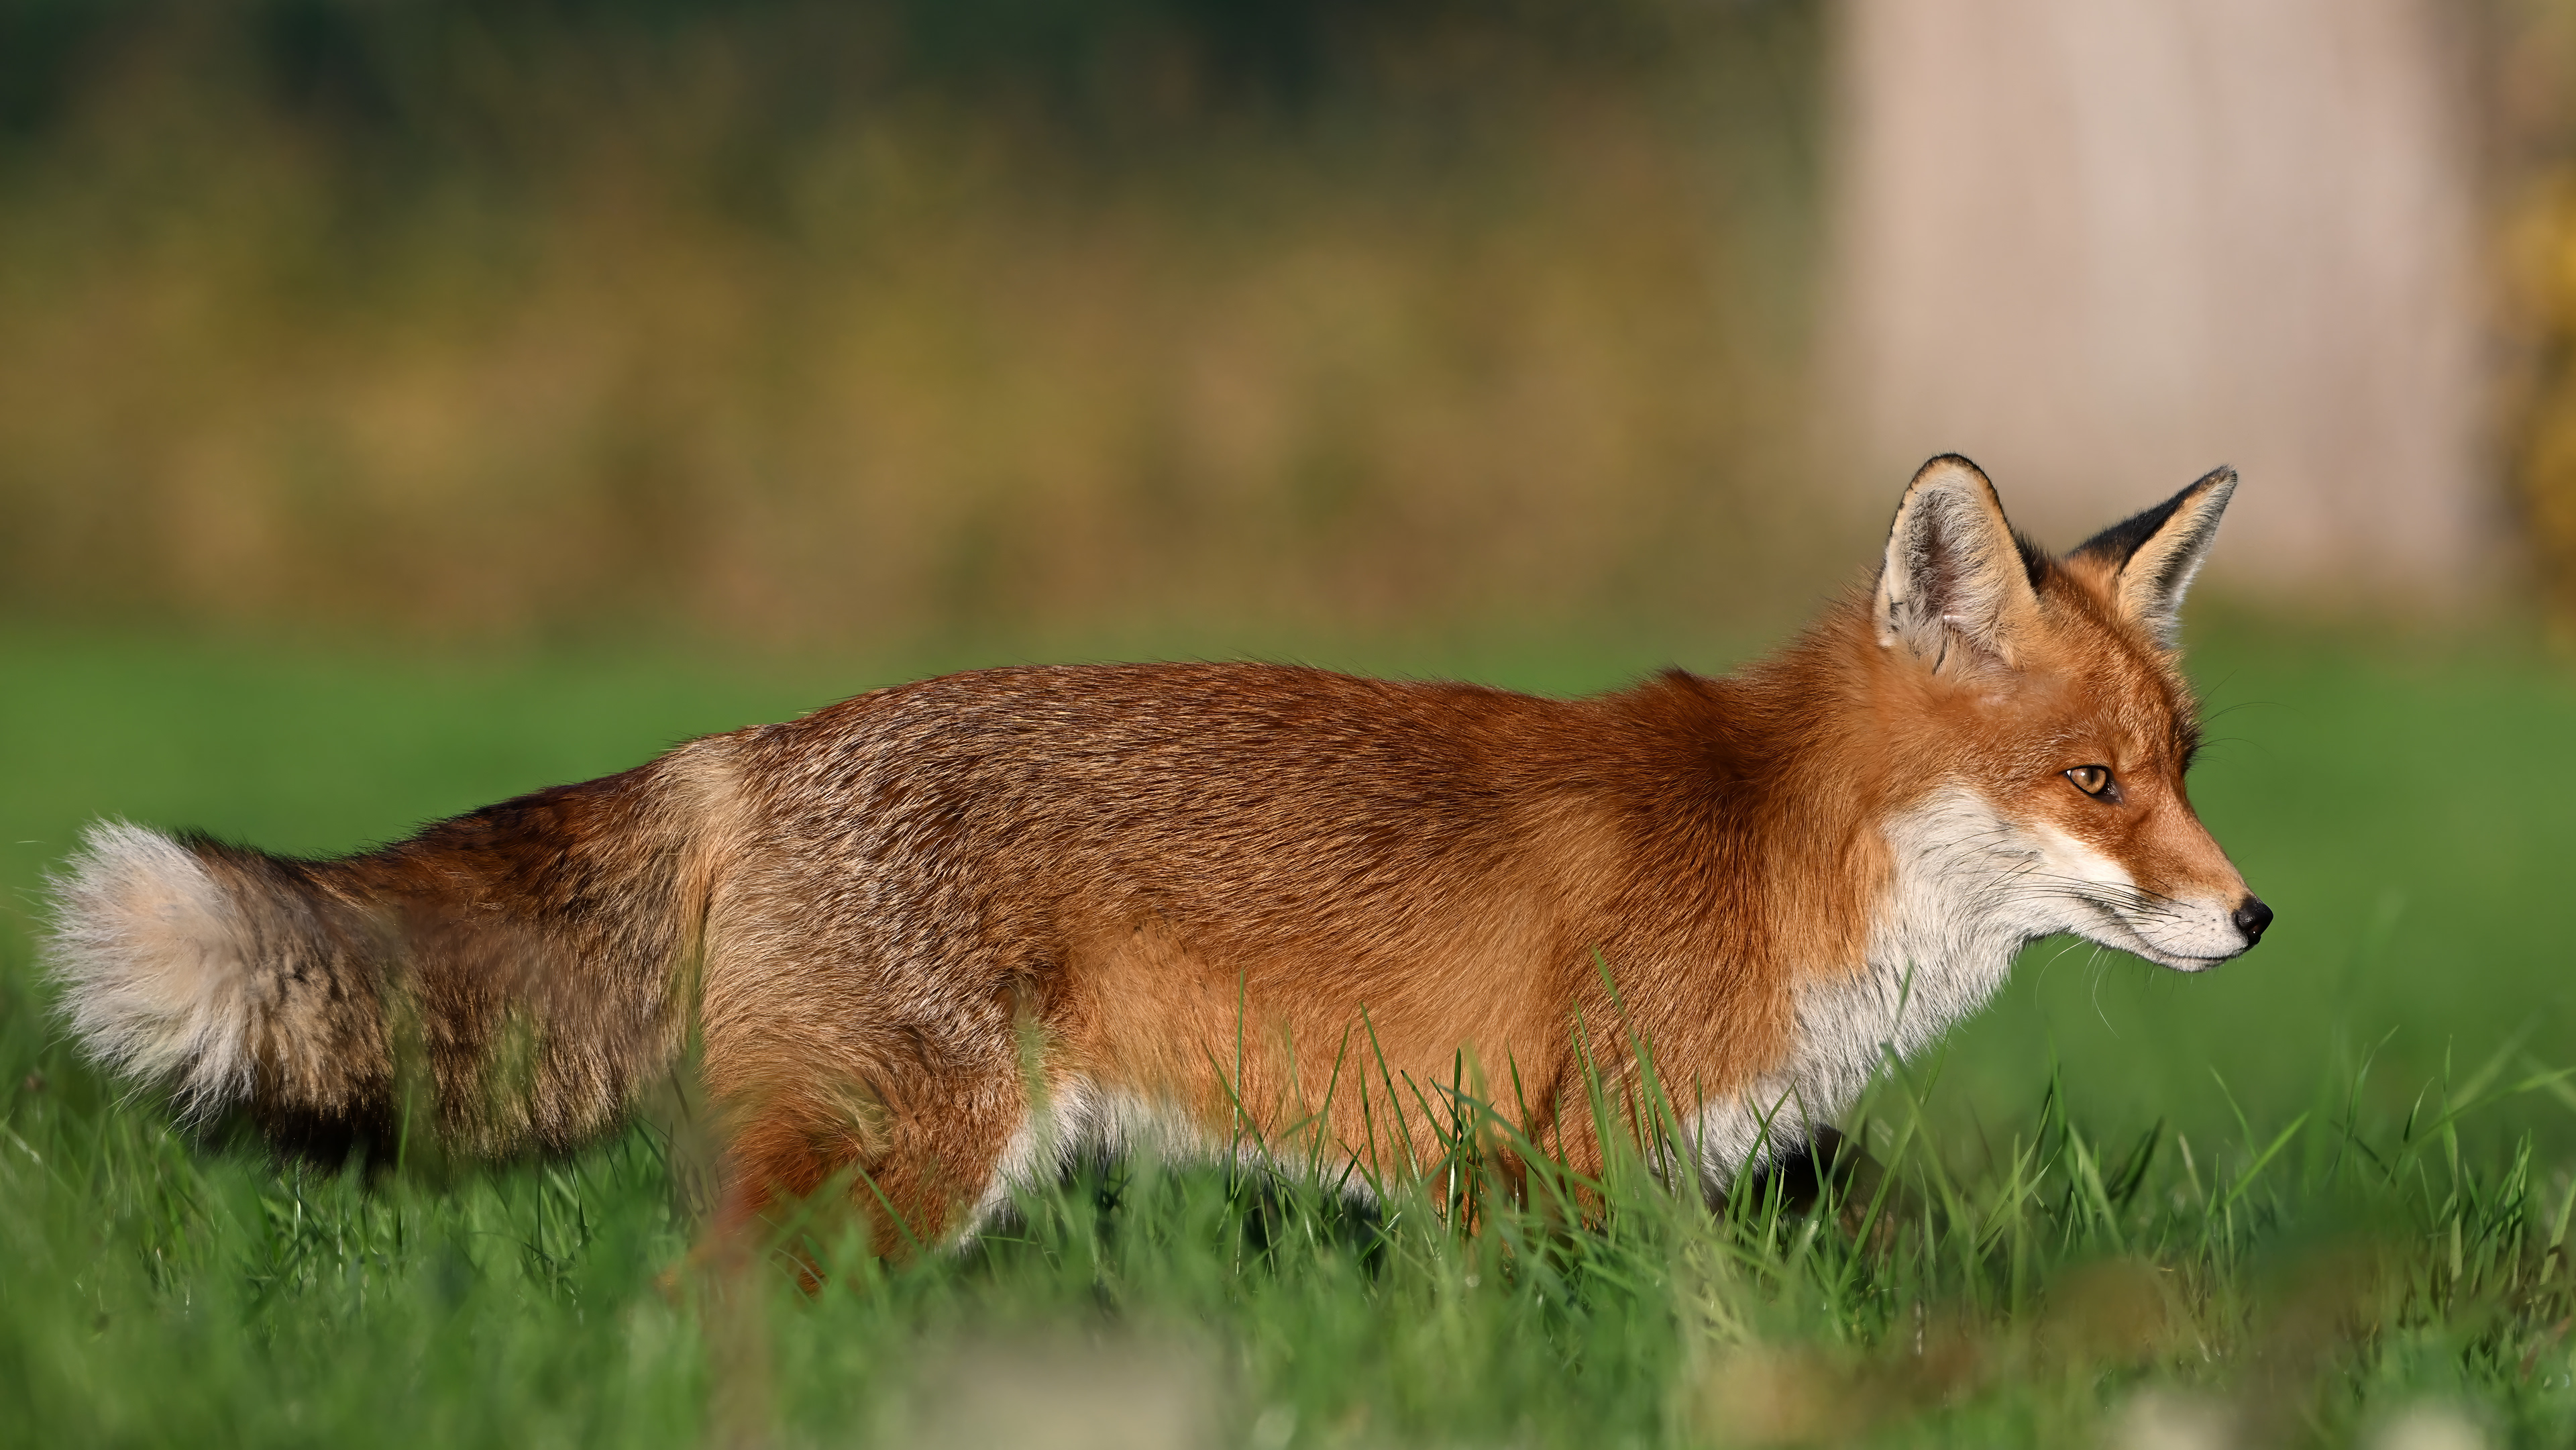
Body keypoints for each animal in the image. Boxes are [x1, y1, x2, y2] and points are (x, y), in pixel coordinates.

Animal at [45, 455, 2266, 1247]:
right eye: (2090, 781)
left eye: (2180, 763)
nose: (2253, 915)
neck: (1780, 848)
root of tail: (748, 750)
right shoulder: (1533, 1170)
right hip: (902, 1166)